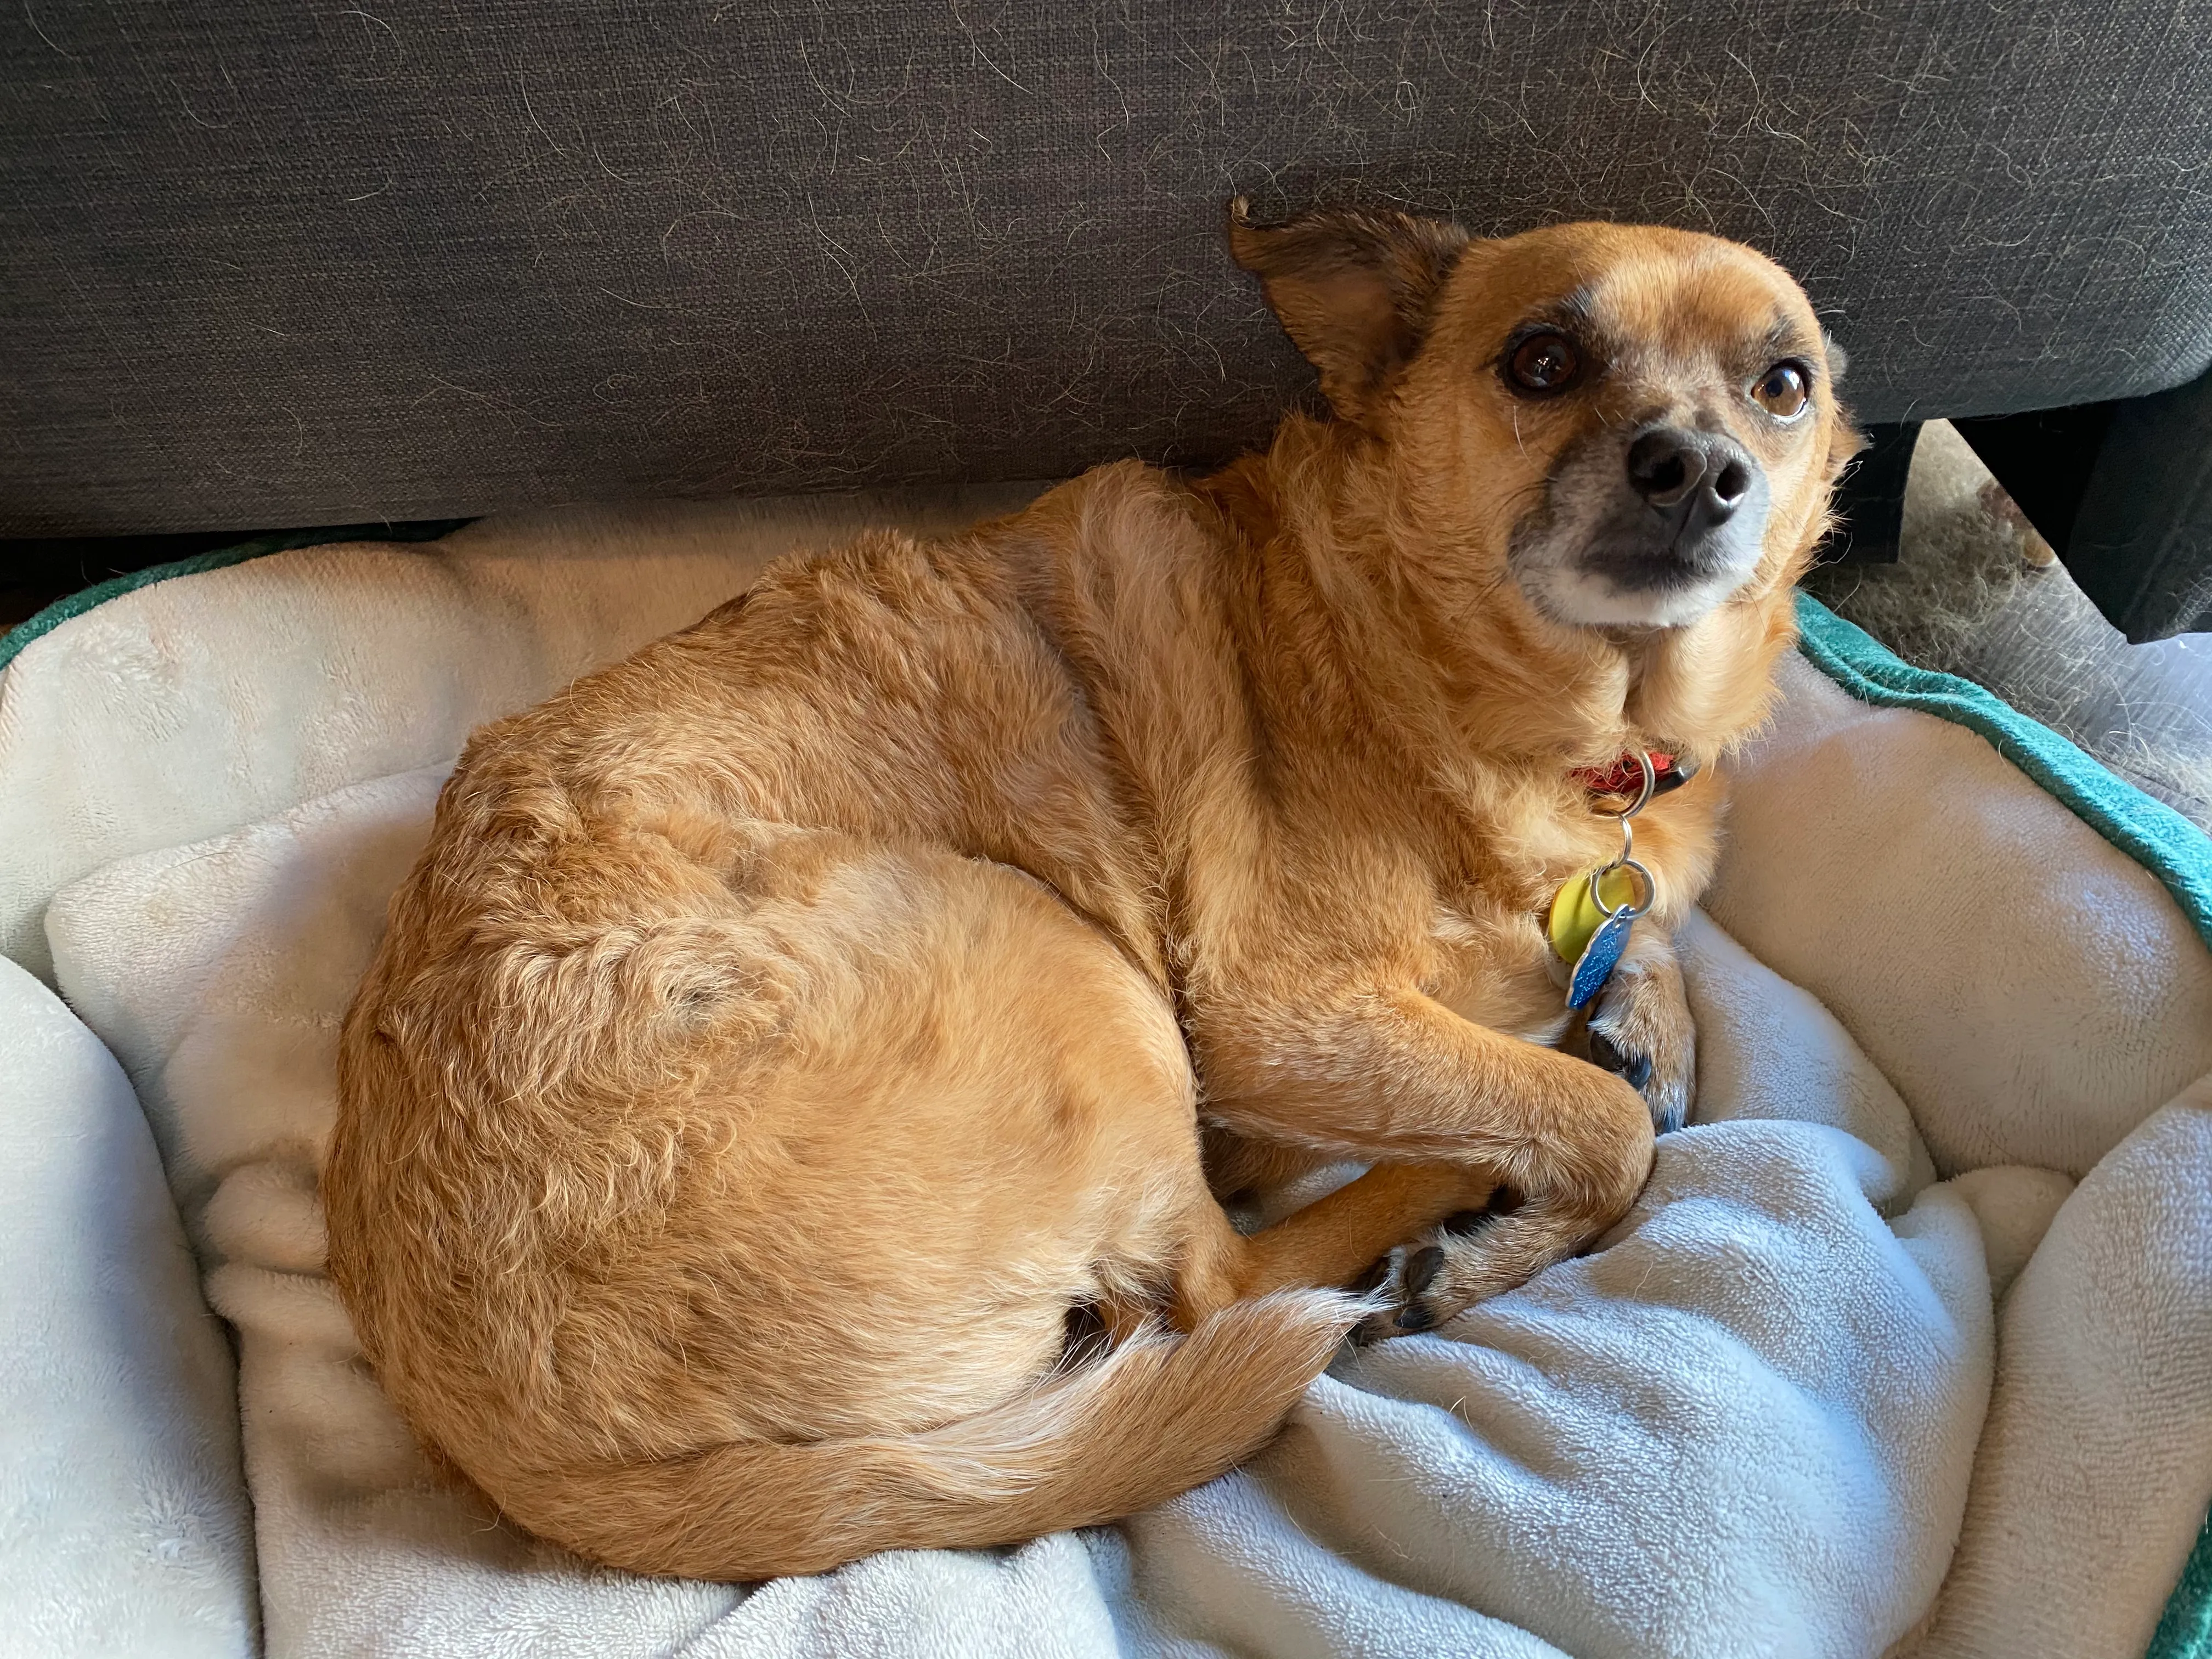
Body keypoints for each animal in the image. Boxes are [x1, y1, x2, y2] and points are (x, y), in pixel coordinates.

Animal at [323, 204, 1849, 1583]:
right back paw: (1435, 1200)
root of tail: (531, 1461)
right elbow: (1601, 1125)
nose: (1698, 469)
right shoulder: (1278, 1019)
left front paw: (1641, 1011)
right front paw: (1526, 1178)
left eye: (1785, 385)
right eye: (1541, 362)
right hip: (1083, 978)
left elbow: (1642, 952)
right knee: (1226, 1283)